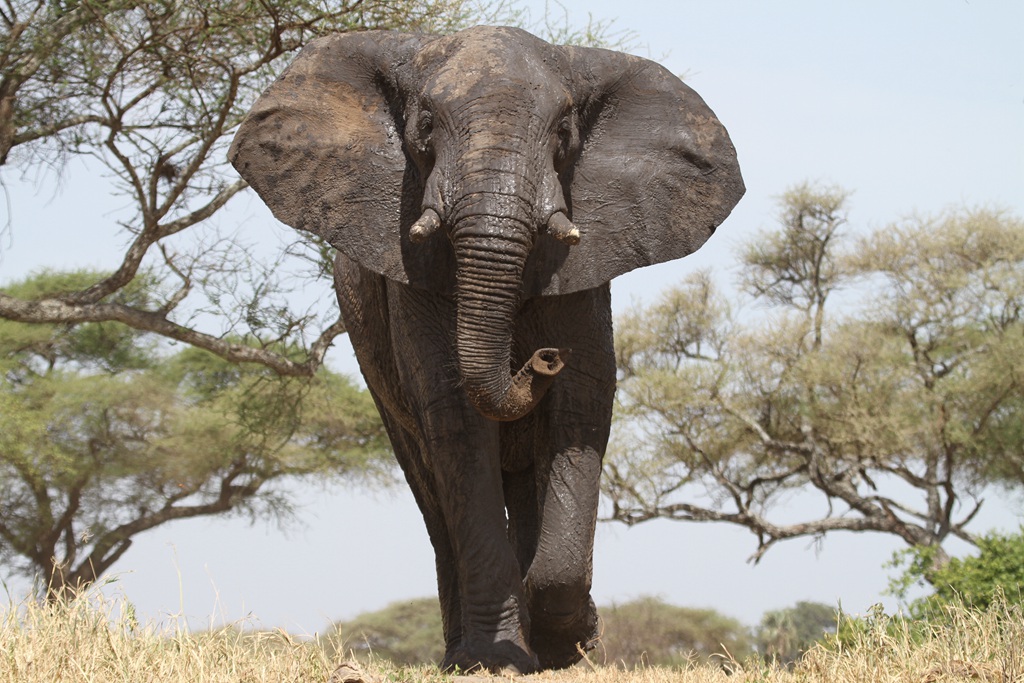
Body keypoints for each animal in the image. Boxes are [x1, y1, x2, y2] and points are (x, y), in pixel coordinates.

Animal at [230, 25, 745, 671]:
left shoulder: (586, 264)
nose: (540, 359)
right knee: (430, 488)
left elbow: (582, 402)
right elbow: (455, 415)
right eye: (426, 125)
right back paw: (464, 651)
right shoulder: (411, 270)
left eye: (564, 132)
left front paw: (567, 642)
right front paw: (498, 659)